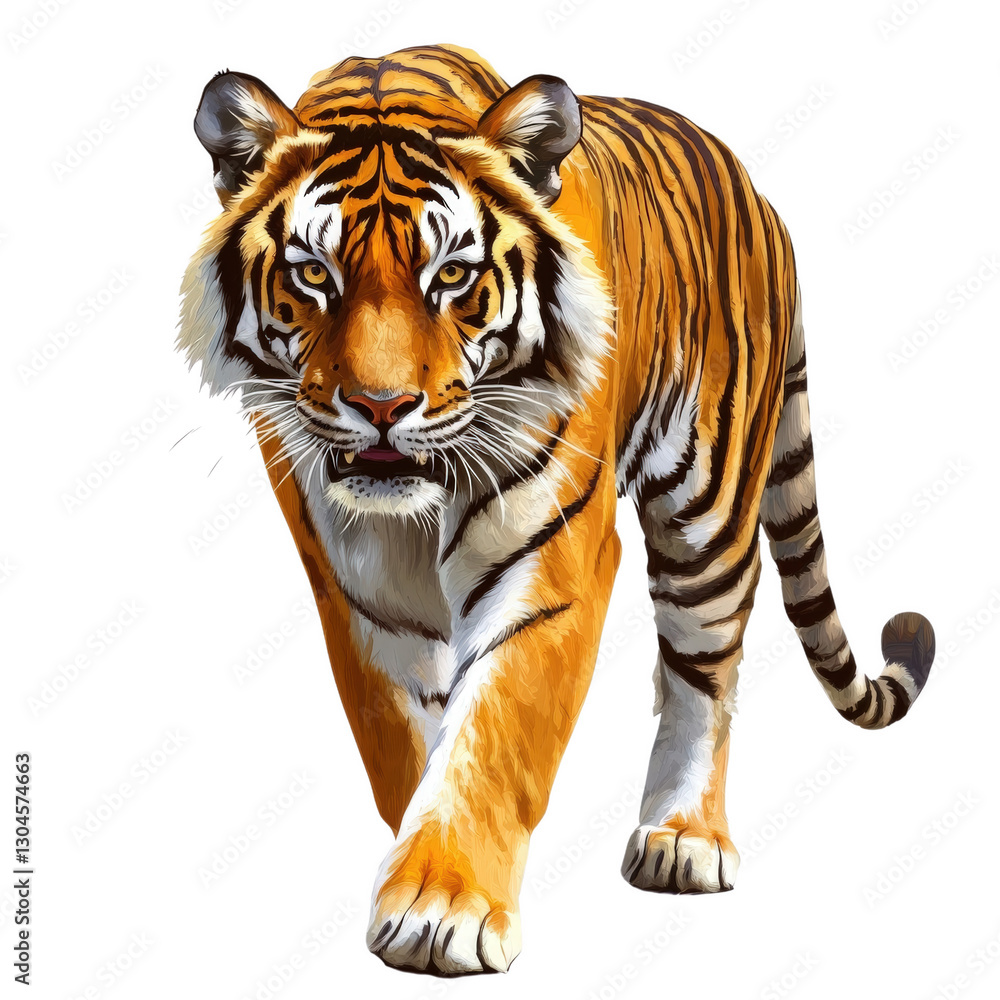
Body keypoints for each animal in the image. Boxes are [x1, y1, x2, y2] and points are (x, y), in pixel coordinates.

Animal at [178, 43, 936, 976]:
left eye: (452, 275)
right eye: (314, 274)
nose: (382, 407)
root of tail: (756, 191)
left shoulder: (549, 556)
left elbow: (496, 728)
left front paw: (443, 906)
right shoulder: (357, 587)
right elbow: (406, 740)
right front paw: (417, 868)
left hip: (709, 513)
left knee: (704, 670)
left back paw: (684, 839)